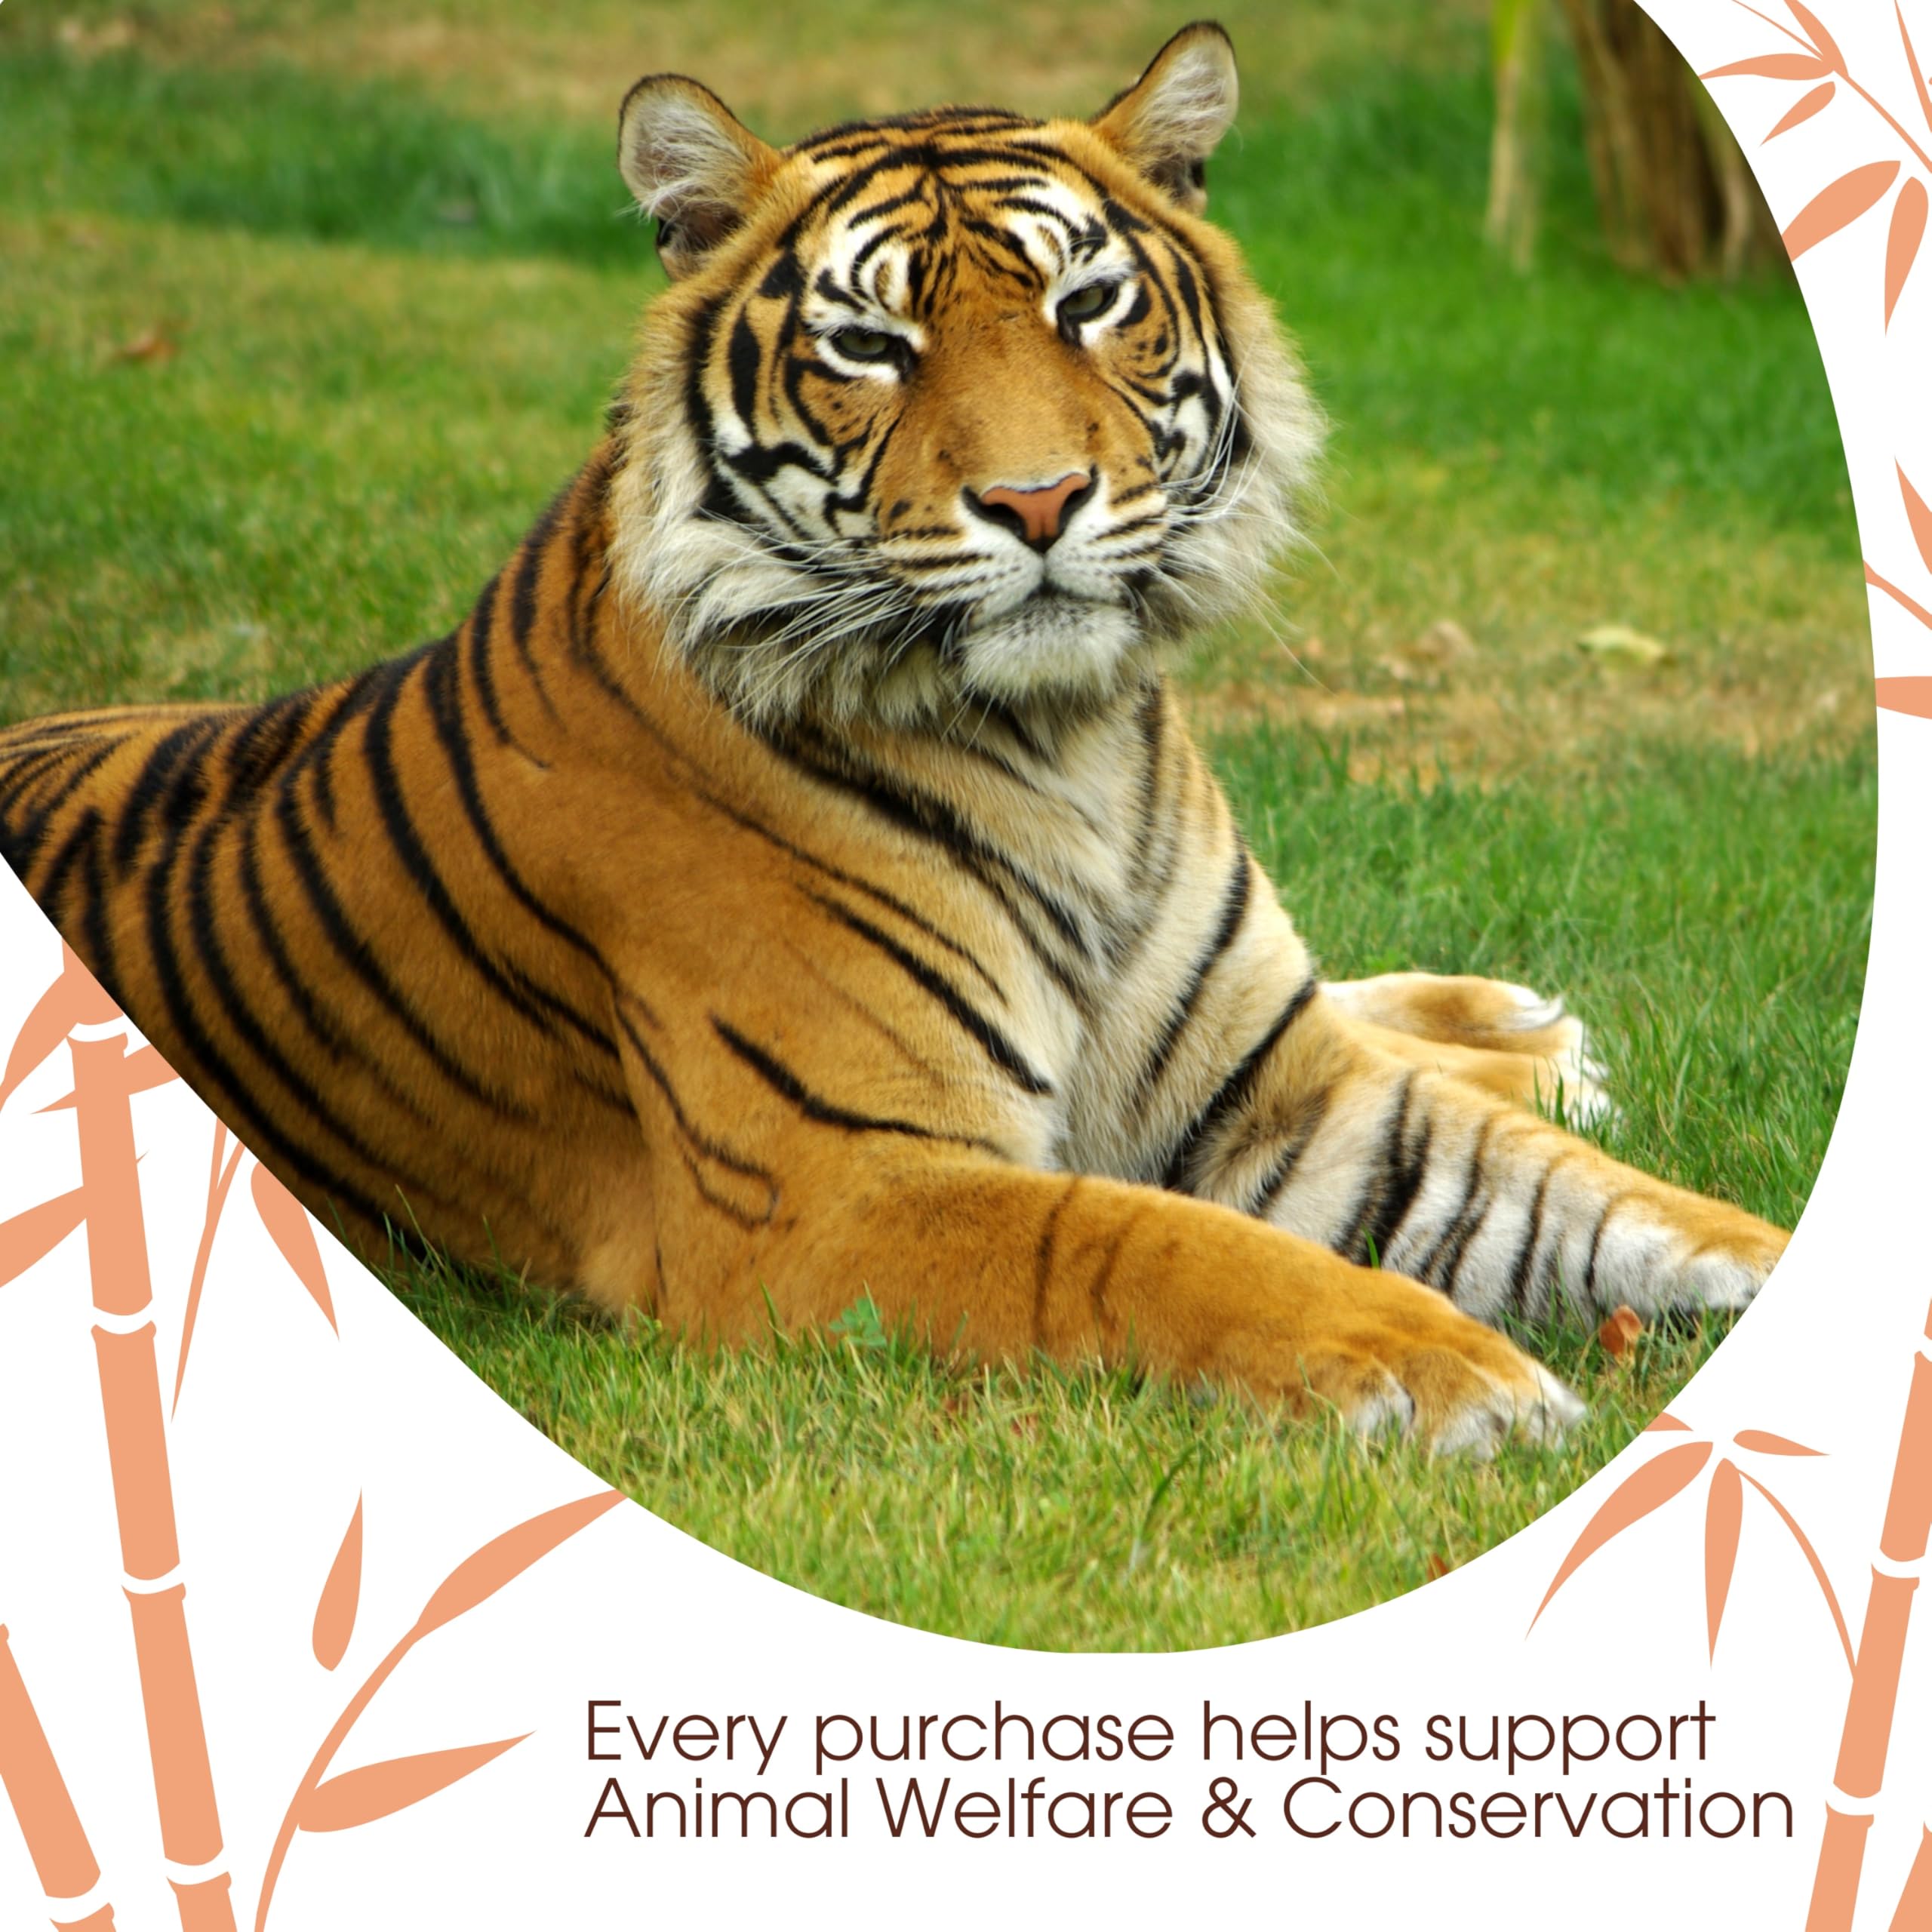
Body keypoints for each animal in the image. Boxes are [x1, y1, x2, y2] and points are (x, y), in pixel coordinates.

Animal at [0, 23, 1788, 1456]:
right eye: (870, 345)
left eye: (1088, 304)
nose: (1038, 502)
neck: (1071, 743)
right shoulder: (835, 1192)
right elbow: (1149, 1242)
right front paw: (1444, 1367)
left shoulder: (1289, 1091)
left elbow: (1613, 1204)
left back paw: (1521, 1029)